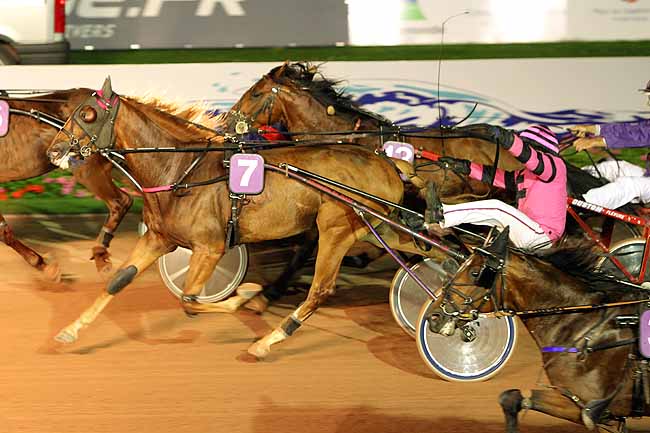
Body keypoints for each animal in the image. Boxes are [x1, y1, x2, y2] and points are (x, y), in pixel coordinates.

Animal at [45, 77, 451, 359]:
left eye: (88, 114)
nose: (54, 150)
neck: (179, 168)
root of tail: (387, 161)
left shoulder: (208, 248)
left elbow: (190, 301)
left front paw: (246, 296)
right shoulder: (159, 238)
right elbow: (117, 282)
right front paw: (69, 331)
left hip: (337, 229)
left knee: (320, 290)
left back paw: (267, 341)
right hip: (378, 227)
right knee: (435, 249)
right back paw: (454, 285)